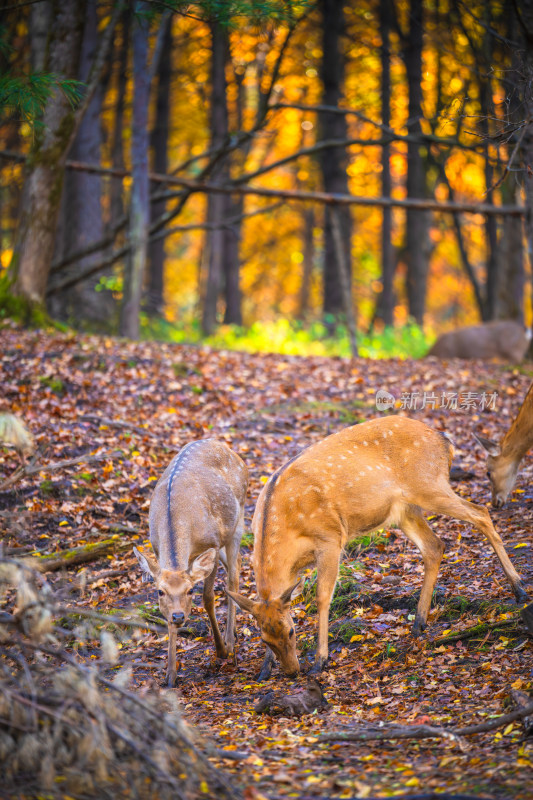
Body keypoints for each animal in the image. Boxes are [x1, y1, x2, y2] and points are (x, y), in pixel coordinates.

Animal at [134, 438, 248, 688]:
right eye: (159, 592)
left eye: (190, 590)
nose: (179, 617)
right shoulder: (157, 549)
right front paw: (170, 675)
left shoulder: (212, 542)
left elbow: (208, 598)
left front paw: (221, 650)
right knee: (234, 566)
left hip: (239, 518)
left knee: (233, 577)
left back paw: (230, 642)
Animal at [228, 416, 528, 680]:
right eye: (265, 638)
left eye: (291, 632)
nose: (292, 671)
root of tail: (445, 439)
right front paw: (265, 670)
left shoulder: (330, 538)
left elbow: (322, 597)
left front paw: (320, 662)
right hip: (405, 509)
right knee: (435, 545)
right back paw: (418, 623)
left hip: (429, 485)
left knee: (481, 514)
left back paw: (520, 589)